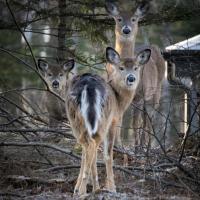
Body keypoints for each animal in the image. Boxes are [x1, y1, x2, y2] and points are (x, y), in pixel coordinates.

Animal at [64, 46, 150, 195]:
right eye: (121, 67)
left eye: (136, 67)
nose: (131, 78)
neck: (119, 101)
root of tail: (88, 86)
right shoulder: (113, 121)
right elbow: (108, 154)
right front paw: (111, 188)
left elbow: (85, 155)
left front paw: (86, 187)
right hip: (103, 118)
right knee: (93, 144)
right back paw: (84, 190)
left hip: (75, 118)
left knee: (86, 145)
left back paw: (81, 189)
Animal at [104, 0, 166, 147]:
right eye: (119, 18)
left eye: (134, 19)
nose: (126, 30)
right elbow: (120, 119)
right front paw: (118, 144)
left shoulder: (139, 96)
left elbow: (134, 123)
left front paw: (135, 147)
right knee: (144, 118)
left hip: (156, 89)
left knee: (149, 119)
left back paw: (145, 146)